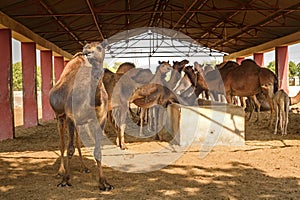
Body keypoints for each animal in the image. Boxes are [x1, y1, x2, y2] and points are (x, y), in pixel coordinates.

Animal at [49, 41, 112, 191]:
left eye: (100, 47)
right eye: (85, 48)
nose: (87, 53)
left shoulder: (101, 119)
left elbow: (97, 150)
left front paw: (104, 183)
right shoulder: (70, 116)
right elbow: (69, 148)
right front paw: (65, 180)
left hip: (78, 123)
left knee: (77, 141)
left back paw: (84, 167)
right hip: (60, 116)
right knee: (62, 143)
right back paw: (60, 171)